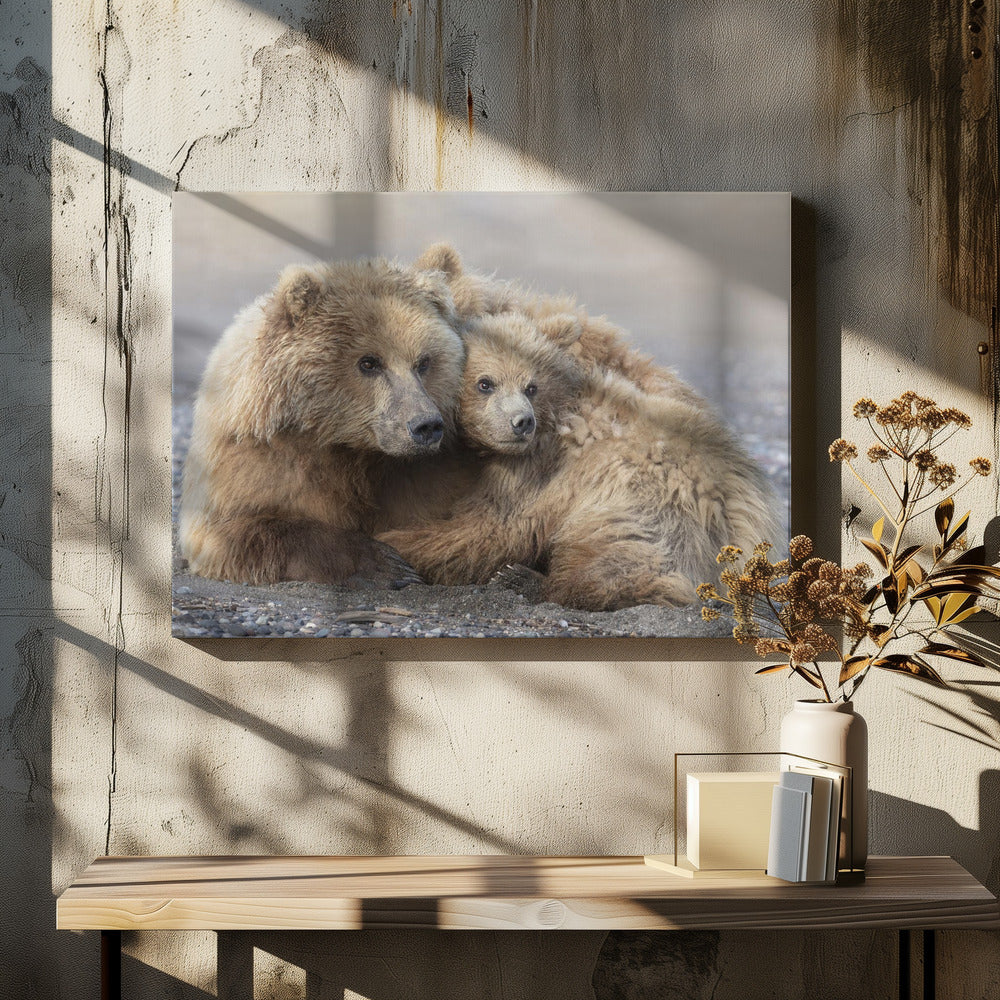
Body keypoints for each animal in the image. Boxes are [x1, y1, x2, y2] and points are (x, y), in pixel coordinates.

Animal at [179, 256, 466, 587]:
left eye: (423, 362)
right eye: (369, 362)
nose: (426, 425)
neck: (342, 445)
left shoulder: (422, 476)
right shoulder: (252, 463)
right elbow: (238, 529)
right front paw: (386, 563)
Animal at [376, 311, 776, 611]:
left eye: (531, 386)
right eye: (484, 383)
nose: (521, 422)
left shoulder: (538, 471)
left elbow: (488, 528)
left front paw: (391, 544)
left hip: (638, 504)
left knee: (618, 561)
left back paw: (526, 580)